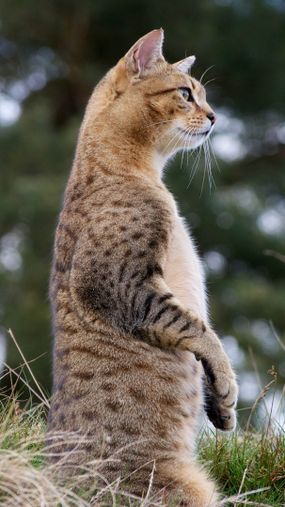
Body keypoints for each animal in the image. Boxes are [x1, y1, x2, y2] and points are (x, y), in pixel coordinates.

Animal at [47, 28, 236, 507]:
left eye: (204, 95)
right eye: (186, 93)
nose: (215, 116)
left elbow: (200, 326)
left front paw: (220, 406)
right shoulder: (125, 285)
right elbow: (198, 330)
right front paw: (227, 385)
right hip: (189, 491)